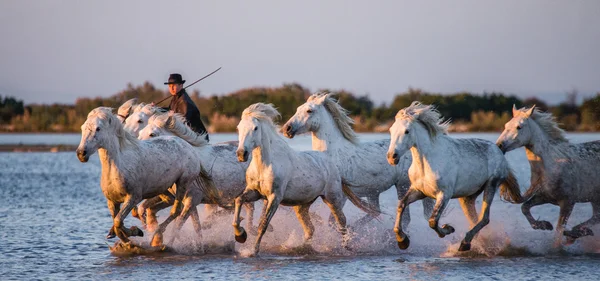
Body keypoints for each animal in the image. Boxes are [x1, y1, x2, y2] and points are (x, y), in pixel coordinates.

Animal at [77, 106, 210, 246]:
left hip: (183, 183)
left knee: (177, 211)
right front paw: (128, 234)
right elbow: (117, 222)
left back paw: (158, 237)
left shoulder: (133, 198)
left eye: (98, 128)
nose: (81, 153)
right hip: (164, 188)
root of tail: (189, 147)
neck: (118, 166)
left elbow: (118, 222)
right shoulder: (112, 202)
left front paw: (133, 236)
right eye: (82, 127)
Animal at [232, 102, 378, 254]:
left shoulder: (274, 197)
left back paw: (345, 248)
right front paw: (240, 235)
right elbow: (238, 200)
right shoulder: (255, 193)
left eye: (255, 128)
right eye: (238, 127)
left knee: (342, 222)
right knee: (310, 229)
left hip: (332, 199)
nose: (241, 154)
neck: (265, 165)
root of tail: (332, 163)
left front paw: (253, 251)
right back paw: (299, 247)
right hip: (302, 205)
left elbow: (263, 224)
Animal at [282, 93, 432, 226]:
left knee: (405, 219)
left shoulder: (341, 195)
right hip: (374, 192)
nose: (286, 129)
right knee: (376, 211)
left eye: (309, 110)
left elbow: (332, 221)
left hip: (402, 185)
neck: (332, 155)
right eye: (297, 109)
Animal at [386, 101, 524, 250]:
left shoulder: (444, 195)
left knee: (484, 218)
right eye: (391, 130)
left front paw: (448, 229)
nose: (392, 157)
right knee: (474, 219)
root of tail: (499, 151)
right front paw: (402, 240)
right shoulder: (419, 191)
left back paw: (465, 243)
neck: (426, 163)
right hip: (468, 196)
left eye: (407, 131)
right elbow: (401, 205)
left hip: (491, 185)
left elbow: (432, 221)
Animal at [494, 105, 600, 245]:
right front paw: (544, 225)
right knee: (596, 217)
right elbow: (524, 208)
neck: (551, 164)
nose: (499, 145)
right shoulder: (544, 196)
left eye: (519, 127)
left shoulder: (568, 203)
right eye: (506, 125)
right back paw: (576, 233)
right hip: (595, 198)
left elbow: (558, 233)